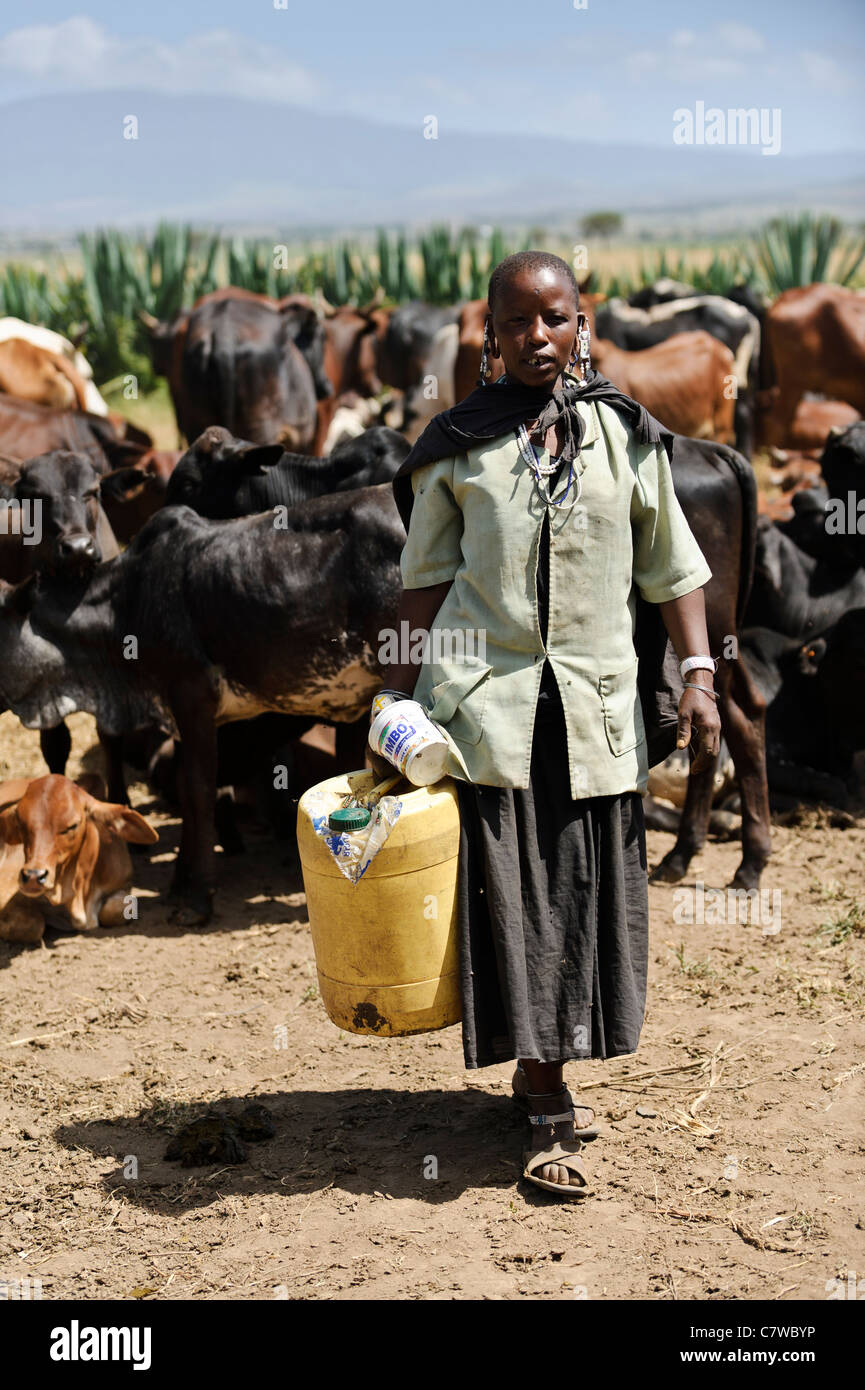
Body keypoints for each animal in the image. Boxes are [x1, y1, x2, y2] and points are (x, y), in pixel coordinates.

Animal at [0, 772, 158, 945]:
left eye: (72, 826)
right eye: (20, 823)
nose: (33, 877)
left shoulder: (124, 883)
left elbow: (113, 911)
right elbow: (33, 927)